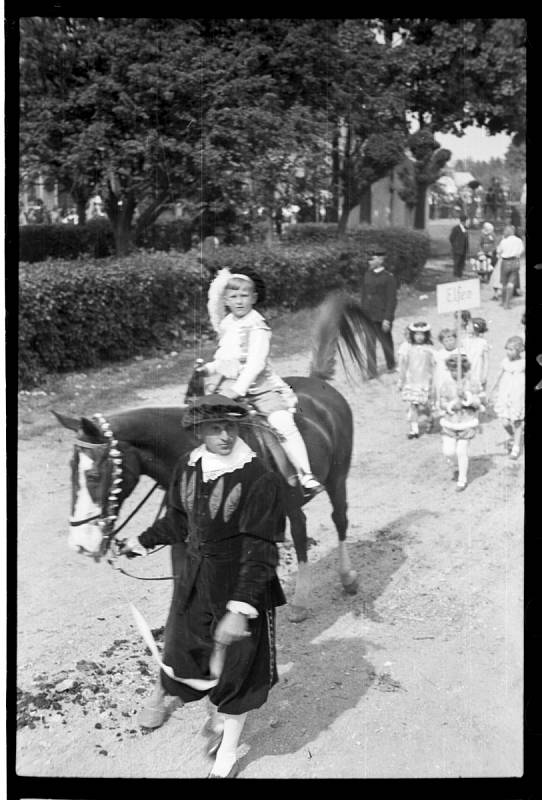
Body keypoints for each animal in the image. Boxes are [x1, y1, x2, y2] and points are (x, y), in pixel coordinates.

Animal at [56, 290, 386, 620]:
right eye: (71, 469)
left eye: (93, 475)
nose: (80, 544)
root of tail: (319, 384)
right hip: (291, 502)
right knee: (300, 530)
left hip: (337, 478)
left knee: (338, 519)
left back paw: (345, 579)